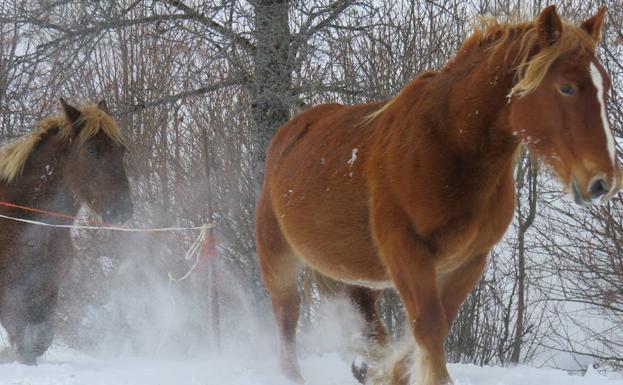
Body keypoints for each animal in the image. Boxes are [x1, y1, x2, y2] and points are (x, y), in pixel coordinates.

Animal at [0, 99, 132, 364]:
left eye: (121, 150)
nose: (123, 209)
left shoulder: (46, 290)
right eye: (91, 150)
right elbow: (25, 340)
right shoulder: (9, 295)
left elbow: (37, 340)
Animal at [256, 6, 620, 384]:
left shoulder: (469, 260)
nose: (602, 182)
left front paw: (386, 372)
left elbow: (435, 324)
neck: (449, 147)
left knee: (365, 315)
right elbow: (428, 327)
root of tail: (288, 134)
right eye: (566, 87)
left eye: (606, 86)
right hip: (279, 259)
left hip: (355, 272)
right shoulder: (407, 252)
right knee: (287, 316)